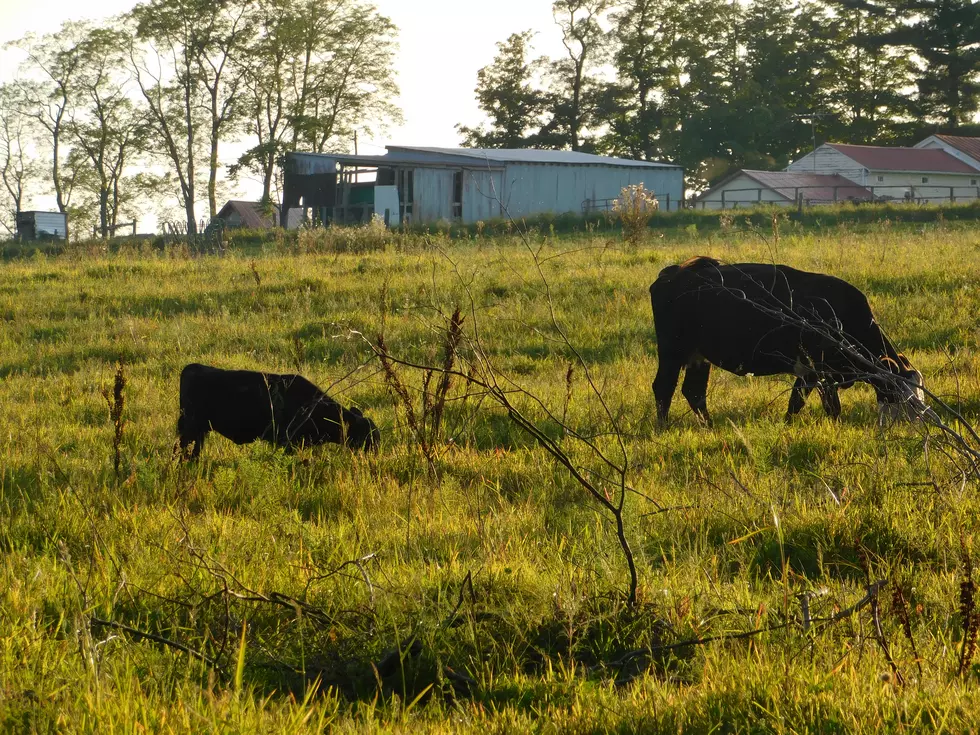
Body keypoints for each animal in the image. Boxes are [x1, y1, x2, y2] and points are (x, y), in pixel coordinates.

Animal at [176, 364, 378, 460]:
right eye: (367, 436)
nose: (375, 453)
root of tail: (192, 368)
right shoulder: (289, 442)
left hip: (199, 432)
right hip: (191, 429)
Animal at [652, 258, 928, 426]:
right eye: (902, 392)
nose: (922, 419)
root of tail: (676, 271)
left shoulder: (816, 373)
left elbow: (799, 401)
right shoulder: (818, 370)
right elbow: (821, 406)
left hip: (698, 356)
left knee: (694, 391)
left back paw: (709, 426)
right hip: (672, 351)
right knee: (664, 388)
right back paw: (663, 426)